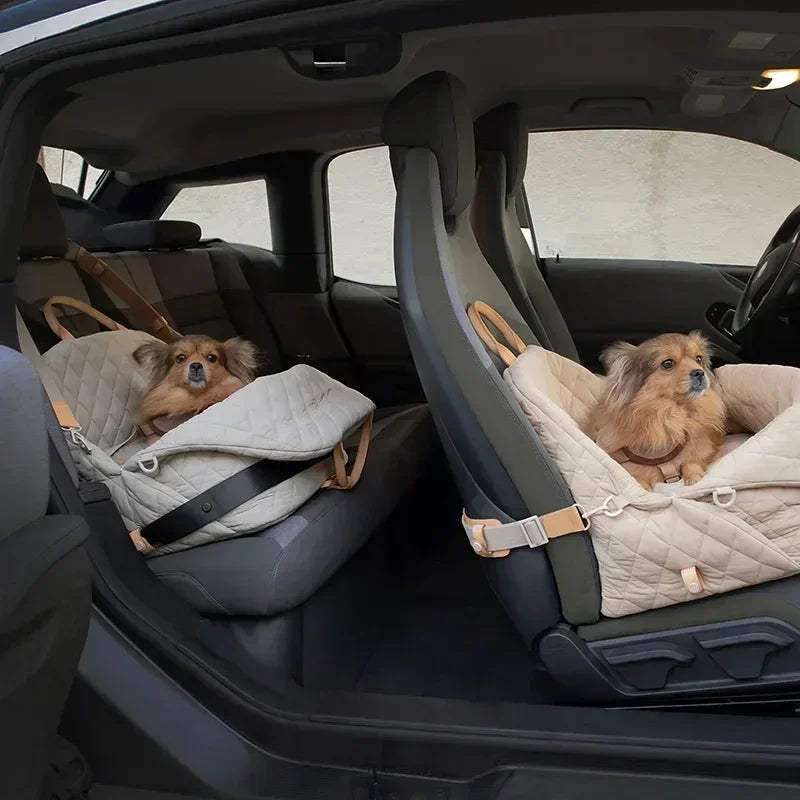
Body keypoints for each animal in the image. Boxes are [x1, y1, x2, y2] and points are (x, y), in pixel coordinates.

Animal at [584, 332, 728, 494]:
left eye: (698, 359)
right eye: (667, 363)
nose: (699, 372)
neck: (669, 413)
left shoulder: (701, 447)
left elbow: (692, 461)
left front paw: (694, 477)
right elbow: (636, 477)